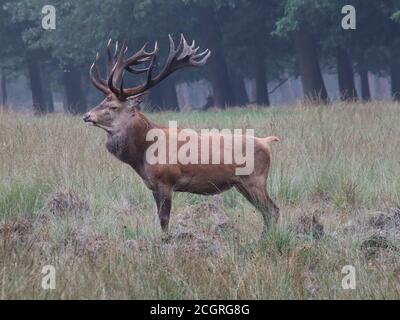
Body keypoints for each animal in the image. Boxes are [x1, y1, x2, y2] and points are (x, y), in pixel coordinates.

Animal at [84, 34, 278, 235]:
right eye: (102, 100)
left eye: (113, 106)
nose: (87, 115)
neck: (142, 154)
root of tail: (266, 142)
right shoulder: (153, 186)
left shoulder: (165, 181)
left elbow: (164, 220)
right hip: (241, 184)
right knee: (268, 210)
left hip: (255, 179)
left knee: (272, 210)